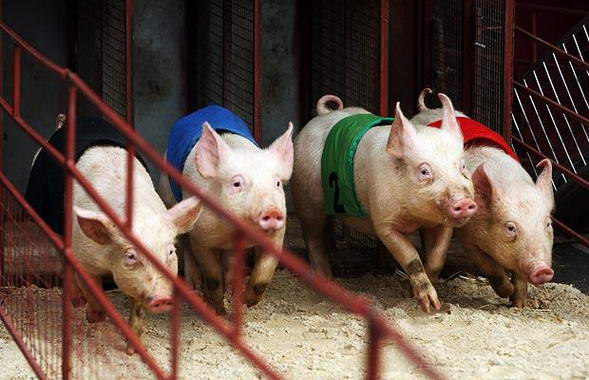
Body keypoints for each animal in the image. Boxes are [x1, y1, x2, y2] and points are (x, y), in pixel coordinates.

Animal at [25, 116, 202, 354]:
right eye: (130, 256)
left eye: (171, 252)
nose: (162, 297)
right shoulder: (83, 255)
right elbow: (92, 291)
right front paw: (92, 317)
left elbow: (137, 308)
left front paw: (133, 350)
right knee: (63, 259)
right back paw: (76, 302)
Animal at [158, 104, 294, 314]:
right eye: (236, 183)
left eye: (277, 183)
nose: (272, 210)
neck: (232, 230)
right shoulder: (201, 235)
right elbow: (212, 277)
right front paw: (217, 308)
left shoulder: (277, 236)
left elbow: (261, 279)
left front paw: (245, 301)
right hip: (169, 196)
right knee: (186, 245)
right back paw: (195, 288)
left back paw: (233, 289)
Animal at [290, 93, 478, 312]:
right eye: (424, 171)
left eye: (463, 166)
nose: (464, 202)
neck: (415, 218)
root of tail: (321, 115)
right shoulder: (384, 222)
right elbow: (411, 257)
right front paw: (428, 305)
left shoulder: (442, 225)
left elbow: (437, 259)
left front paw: (427, 300)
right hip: (307, 197)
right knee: (313, 238)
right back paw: (327, 282)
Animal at [412, 87, 552, 308]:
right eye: (510, 227)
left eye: (547, 224)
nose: (543, 270)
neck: (512, 184)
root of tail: (426, 109)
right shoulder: (469, 237)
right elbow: (490, 268)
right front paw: (507, 291)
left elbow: (520, 276)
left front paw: (519, 305)